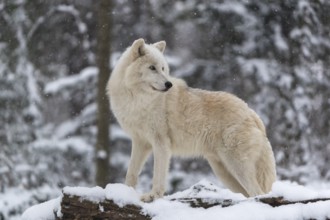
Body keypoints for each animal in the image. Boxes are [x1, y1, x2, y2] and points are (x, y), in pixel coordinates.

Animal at [107, 38, 278, 202]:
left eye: (163, 68)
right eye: (152, 68)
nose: (168, 84)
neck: (138, 99)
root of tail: (252, 113)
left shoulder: (161, 143)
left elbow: (158, 175)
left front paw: (153, 196)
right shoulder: (140, 142)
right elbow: (131, 173)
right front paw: (124, 193)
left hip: (236, 166)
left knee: (257, 192)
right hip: (224, 171)